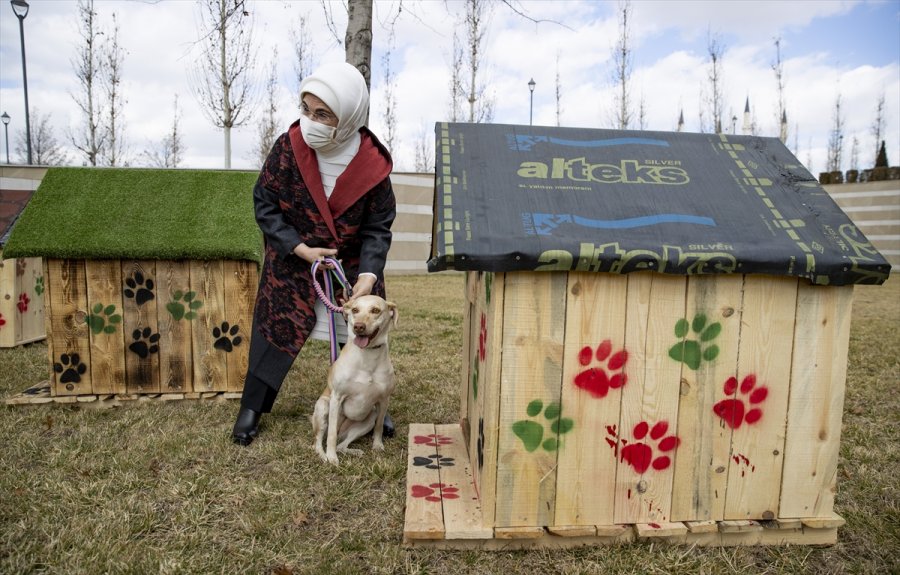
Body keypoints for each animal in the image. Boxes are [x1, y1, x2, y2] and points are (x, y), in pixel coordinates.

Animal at [312, 294, 398, 466]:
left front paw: (377, 445)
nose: (358, 326)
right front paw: (331, 458)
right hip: (323, 407)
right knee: (318, 441)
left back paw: (354, 451)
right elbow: (331, 434)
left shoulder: (384, 400)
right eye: (355, 310)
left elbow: (379, 426)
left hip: (367, 419)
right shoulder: (336, 398)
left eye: (375, 310)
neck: (367, 356)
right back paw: (323, 456)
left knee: (341, 444)